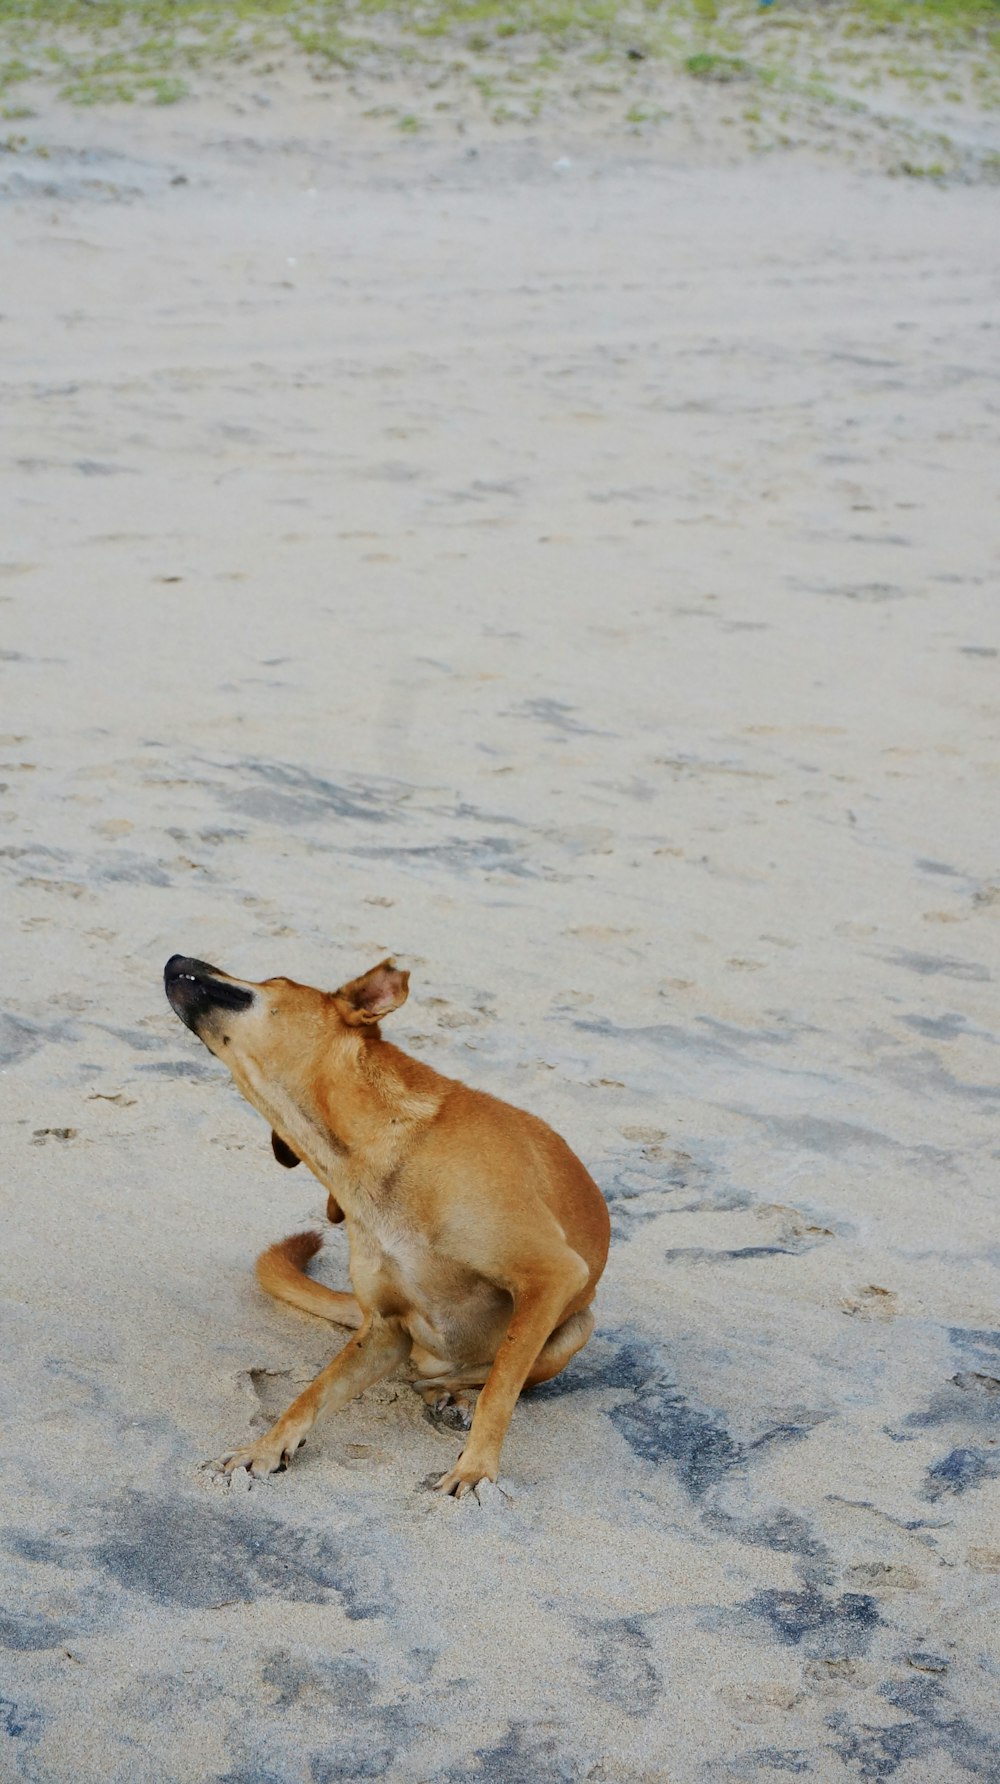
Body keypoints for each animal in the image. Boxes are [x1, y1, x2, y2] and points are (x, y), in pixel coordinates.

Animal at [162, 956, 609, 1498]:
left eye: (275, 980)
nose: (175, 959)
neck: (376, 1150)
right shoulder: (384, 1330)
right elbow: (314, 1392)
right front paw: (266, 1449)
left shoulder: (551, 1275)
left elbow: (501, 1390)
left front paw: (476, 1469)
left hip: (575, 1327)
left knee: (485, 1376)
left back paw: (453, 1396)